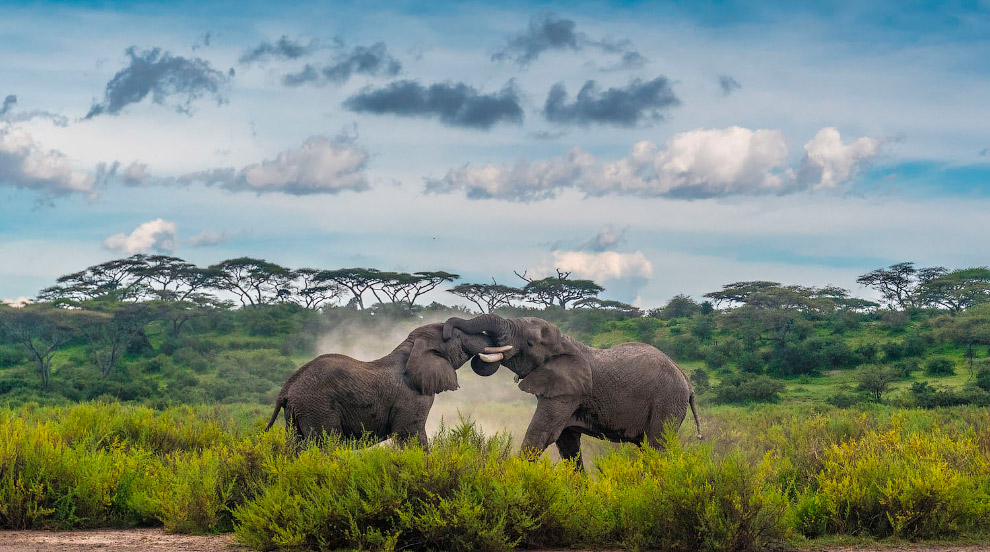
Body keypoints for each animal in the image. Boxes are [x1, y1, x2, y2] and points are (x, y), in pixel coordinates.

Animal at [266, 322, 494, 446]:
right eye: (457, 336)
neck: (411, 347)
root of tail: (287, 389)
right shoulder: (412, 397)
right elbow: (410, 434)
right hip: (317, 408)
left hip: (298, 412)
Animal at [446, 314, 700, 466]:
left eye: (529, 342)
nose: (447, 331)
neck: (567, 342)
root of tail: (687, 383)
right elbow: (567, 444)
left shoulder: (568, 393)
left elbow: (541, 435)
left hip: (667, 402)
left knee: (657, 446)